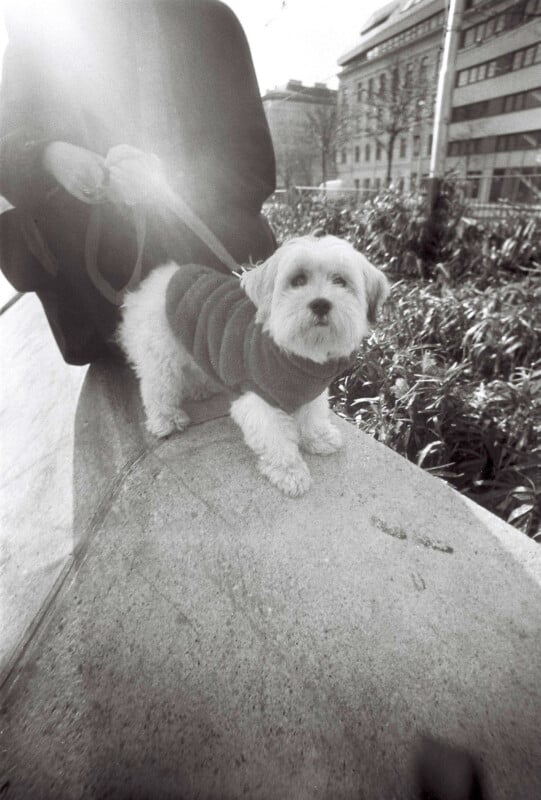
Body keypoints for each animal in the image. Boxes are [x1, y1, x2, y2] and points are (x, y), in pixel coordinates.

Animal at [118, 234, 388, 494]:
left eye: (340, 281)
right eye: (298, 280)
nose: (321, 303)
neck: (297, 354)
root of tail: (158, 280)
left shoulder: (311, 392)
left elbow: (313, 418)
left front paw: (318, 438)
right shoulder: (259, 400)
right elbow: (276, 440)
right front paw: (289, 471)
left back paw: (201, 388)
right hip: (161, 355)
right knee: (157, 388)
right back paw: (166, 420)